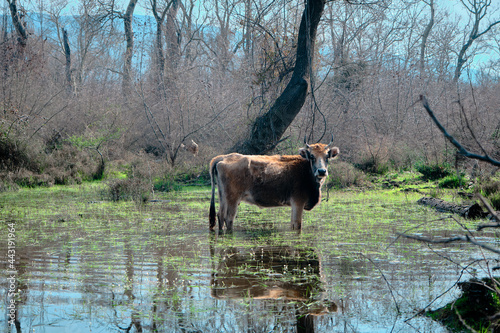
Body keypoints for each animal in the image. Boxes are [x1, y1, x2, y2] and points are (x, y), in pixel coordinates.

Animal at [207, 139, 340, 230]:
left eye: (327, 156)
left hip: (223, 197)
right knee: (228, 219)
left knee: (220, 216)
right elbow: (296, 225)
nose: (322, 171)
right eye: (312, 156)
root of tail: (224, 157)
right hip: (233, 199)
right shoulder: (298, 203)